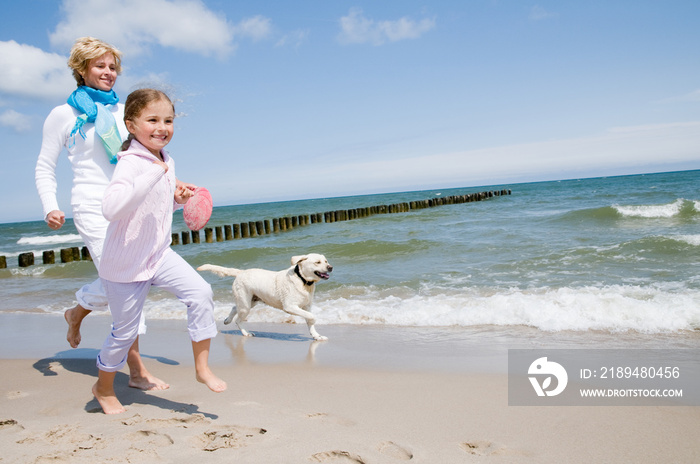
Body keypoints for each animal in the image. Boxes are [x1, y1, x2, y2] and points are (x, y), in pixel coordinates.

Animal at [197, 254, 334, 340]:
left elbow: (310, 320)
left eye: (326, 261)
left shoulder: (307, 306)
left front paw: (317, 336)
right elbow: (312, 317)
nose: (330, 267)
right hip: (246, 305)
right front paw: (315, 326)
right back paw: (246, 333)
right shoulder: (290, 307)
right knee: (238, 320)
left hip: (250, 301)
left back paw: (227, 320)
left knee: (234, 308)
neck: (302, 280)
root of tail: (241, 272)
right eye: (317, 262)